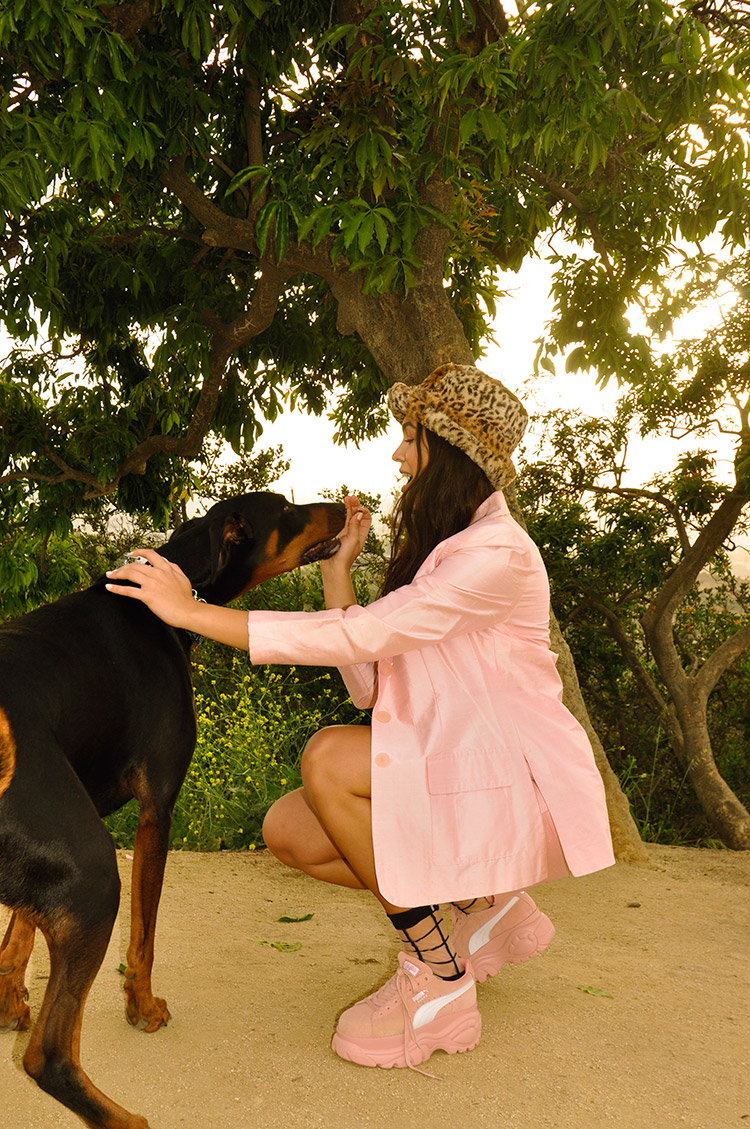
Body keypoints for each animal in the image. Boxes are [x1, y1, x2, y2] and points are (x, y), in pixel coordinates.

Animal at [0, 492, 345, 1129]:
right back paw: (125, 1119)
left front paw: (9, 998)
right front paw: (143, 1007)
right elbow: (145, 935)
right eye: (285, 511)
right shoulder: (156, 807)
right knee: (47, 1055)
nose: (340, 505)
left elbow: (19, 932)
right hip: (93, 876)